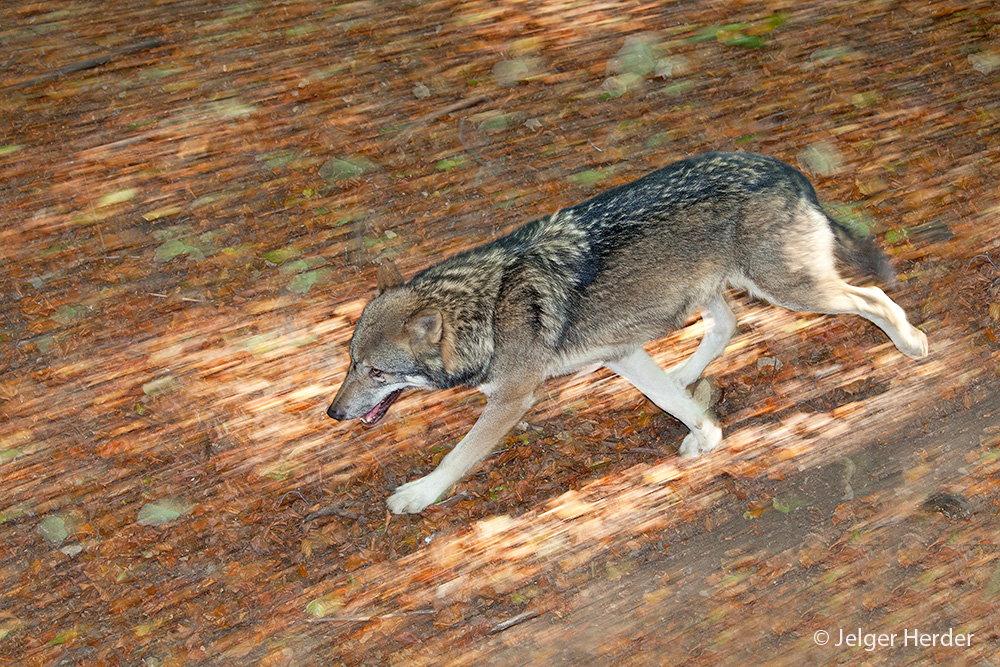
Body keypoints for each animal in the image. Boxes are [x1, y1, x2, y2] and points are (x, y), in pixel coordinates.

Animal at [330, 153, 928, 516]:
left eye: (376, 371)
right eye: (351, 363)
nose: (333, 413)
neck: (489, 310)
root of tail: (786, 169)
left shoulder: (514, 398)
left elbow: (458, 454)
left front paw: (419, 495)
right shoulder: (620, 354)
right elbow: (671, 402)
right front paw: (706, 433)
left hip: (787, 289)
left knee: (871, 299)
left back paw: (912, 343)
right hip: (706, 292)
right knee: (726, 325)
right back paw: (687, 372)